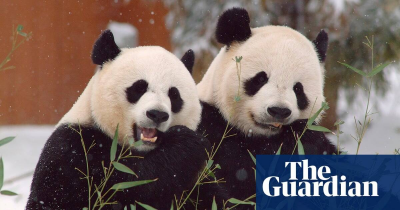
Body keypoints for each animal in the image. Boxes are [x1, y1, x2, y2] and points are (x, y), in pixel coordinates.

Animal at [26, 30, 211, 210]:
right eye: (139, 88)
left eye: (174, 95)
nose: (157, 114)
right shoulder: (73, 149)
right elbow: (132, 183)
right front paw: (186, 143)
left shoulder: (200, 180)